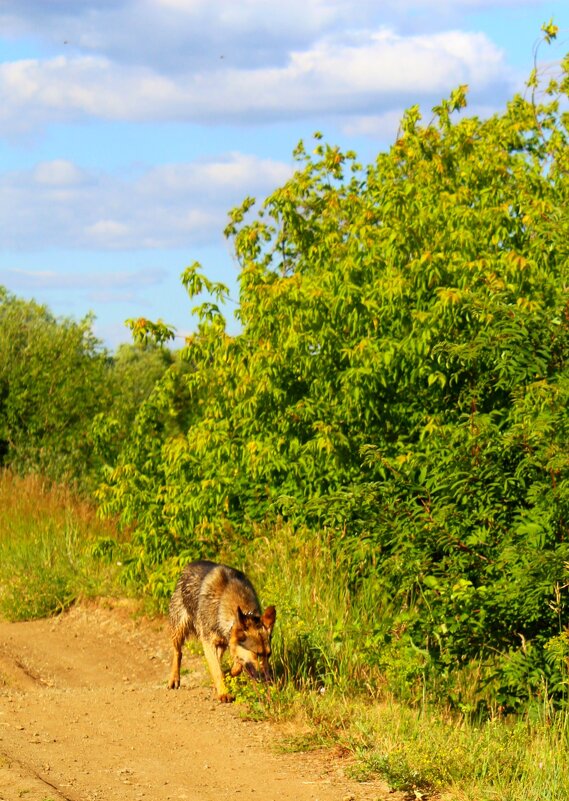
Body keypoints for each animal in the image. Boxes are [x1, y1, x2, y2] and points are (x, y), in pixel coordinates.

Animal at [166, 560, 276, 704]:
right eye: (256, 654)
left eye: (268, 655)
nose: (267, 679)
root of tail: (189, 565)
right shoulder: (208, 644)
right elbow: (217, 671)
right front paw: (224, 693)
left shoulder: (227, 641)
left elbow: (235, 666)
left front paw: (229, 673)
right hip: (179, 629)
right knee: (178, 652)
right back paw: (174, 678)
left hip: (220, 644)